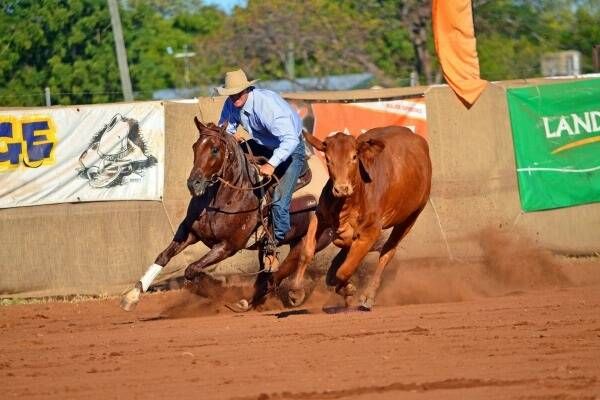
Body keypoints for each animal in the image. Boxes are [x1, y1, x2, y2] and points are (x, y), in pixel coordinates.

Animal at [119, 117, 330, 310]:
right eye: (195, 146)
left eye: (215, 149)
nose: (194, 184)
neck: (225, 198)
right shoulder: (189, 231)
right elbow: (163, 256)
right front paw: (132, 296)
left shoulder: (228, 246)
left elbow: (192, 269)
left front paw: (210, 286)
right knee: (268, 273)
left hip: (312, 241)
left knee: (281, 271)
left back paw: (291, 295)